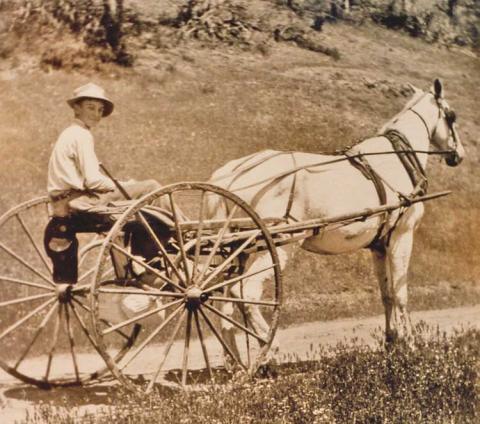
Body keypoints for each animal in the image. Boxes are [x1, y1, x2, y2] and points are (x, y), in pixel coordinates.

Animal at [206, 78, 464, 348]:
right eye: (452, 116)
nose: (459, 155)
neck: (396, 158)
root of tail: (231, 174)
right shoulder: (401, 236)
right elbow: (401, 294)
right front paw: (411, 344)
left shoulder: (379, 245)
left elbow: (386, 294)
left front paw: (391, 341)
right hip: (277, 245)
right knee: (245, 292)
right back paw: (270, 347)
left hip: (234, 250)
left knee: (224, 302)